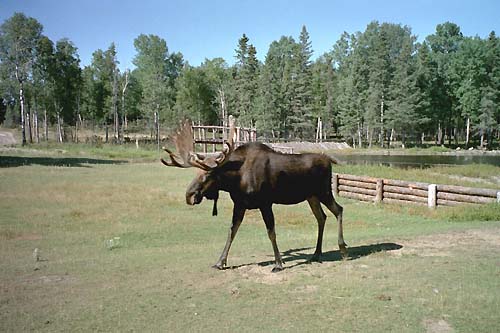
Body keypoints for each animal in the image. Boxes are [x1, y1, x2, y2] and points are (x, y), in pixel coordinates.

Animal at [162, 120, 346, 272]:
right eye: (196, 173)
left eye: (207, 175)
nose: (189, 196)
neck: (236, 179)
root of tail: (329, 160)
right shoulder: (239, 204)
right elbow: (231, 231)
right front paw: (220, 262)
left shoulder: (265, 203)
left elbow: (271, 232)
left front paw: (278, 264)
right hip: (311, 196)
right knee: (321, 217)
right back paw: (316, 253)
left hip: (324, 192)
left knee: (339, 210)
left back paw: (343, 249)